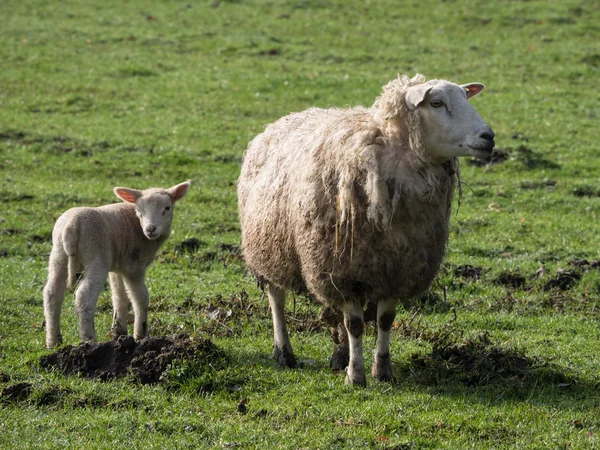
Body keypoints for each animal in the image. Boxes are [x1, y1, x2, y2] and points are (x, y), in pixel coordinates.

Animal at [42, 181, 190, 346]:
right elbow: (140, 298)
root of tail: (71, 227)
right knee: (84, 296)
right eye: (138, 210)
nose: (150, 229)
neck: (138, 226)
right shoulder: (134, 267)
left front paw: (119, 333)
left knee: (52, 293)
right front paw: (141, 335)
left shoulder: (118, 266)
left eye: (167, 208)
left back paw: (53, 341)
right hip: (97, 257)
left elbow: (120, 298)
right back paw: (90, 340)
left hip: (58, 255)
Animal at [237, 74, 494, 386]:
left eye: (465, 98)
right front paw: (356, 375)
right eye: (436, 102)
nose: (489, 137)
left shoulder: (396, 268)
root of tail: (281, 121)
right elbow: (356, 324)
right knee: (277, 300)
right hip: (269, 249)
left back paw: (339, 356)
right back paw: (284, 354)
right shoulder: (344, 272)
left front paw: (382, 369)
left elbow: (385, 320)